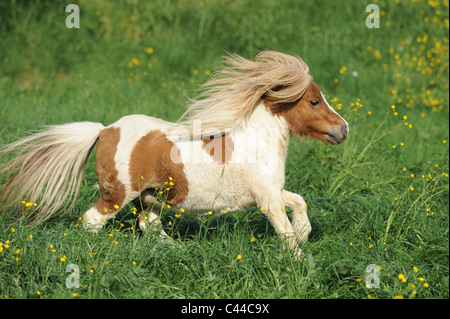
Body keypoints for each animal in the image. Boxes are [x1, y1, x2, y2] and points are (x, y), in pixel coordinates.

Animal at [0, 50, 348, 260]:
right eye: (314, 101)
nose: (343, 130)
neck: (256, 142)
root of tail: (105, 130)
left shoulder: (271, 192)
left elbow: (300, 203)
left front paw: (304, 236)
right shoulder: (267, 198)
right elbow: (284, 230)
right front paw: (300, 260)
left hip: (150, 196)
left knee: (148, 225)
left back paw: (179, 251)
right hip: (119, 193)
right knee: (92, 220)